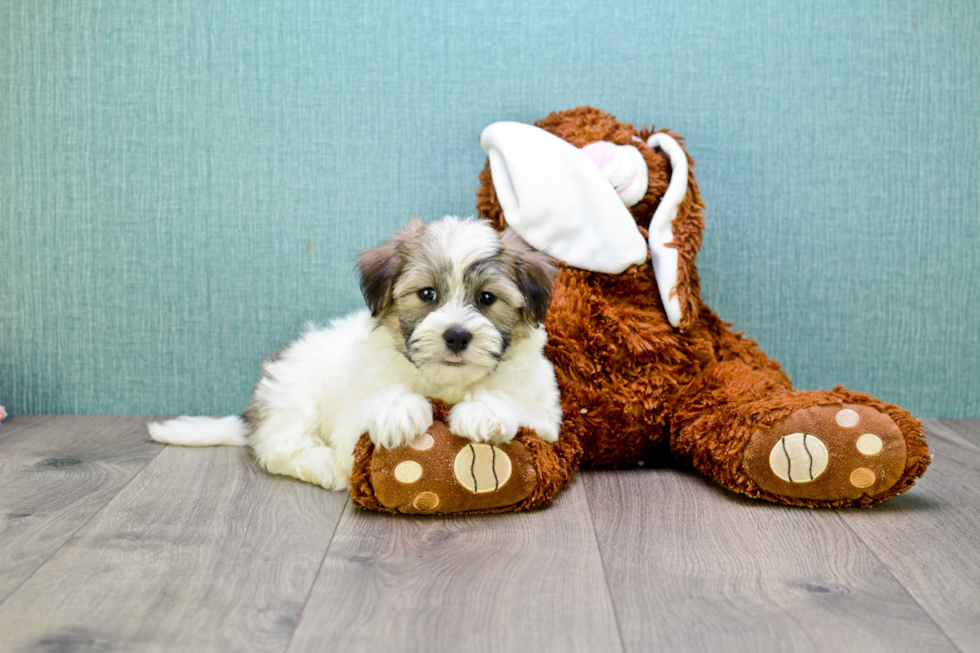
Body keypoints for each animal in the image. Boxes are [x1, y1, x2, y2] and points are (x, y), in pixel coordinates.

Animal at [145, 215, 560, 488]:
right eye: (427, 294)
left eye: (486, 298)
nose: (456, 336)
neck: (446, 383)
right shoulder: (352, 413)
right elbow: (374, 406)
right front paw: (399, 412)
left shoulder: (547, 417)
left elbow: (516, 404)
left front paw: (482, 411)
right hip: (295, 389)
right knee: (278, 445)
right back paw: (326, 465)